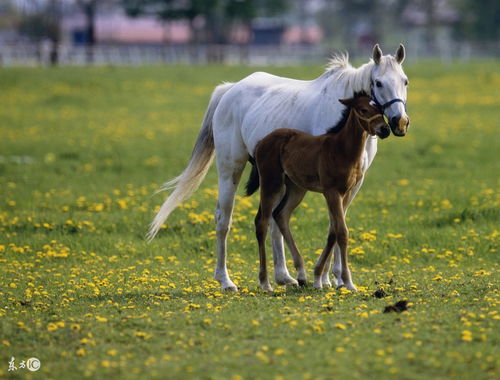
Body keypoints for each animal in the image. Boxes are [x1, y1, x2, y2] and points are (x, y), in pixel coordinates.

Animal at [250, 93, 390, 290]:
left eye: (380, 108)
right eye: (363, 110)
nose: (385, 129)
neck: (342, 150)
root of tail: (261, 142)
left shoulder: (345, 193)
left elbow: (333, 231)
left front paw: (318, 278)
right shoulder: (331, 192)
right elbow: (342, 232)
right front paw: (348, 282)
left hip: (296, 188)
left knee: (281, 214)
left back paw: (301, 275)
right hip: (272, 183)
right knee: (262, 222)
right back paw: (265, 283)